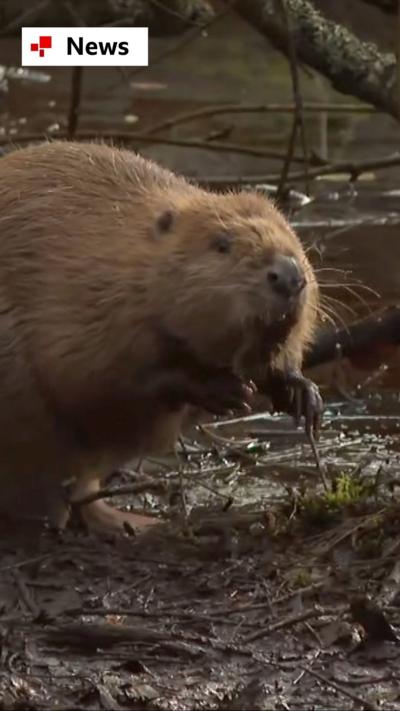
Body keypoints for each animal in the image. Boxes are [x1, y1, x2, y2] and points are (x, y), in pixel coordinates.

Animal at [0, 142, 322, 536]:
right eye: (221, 244)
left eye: (289, 234)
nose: (289, 276)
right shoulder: (80, 305)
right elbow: (96, 375)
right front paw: (225, 391)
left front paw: (302, 394)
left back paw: (130, 522)